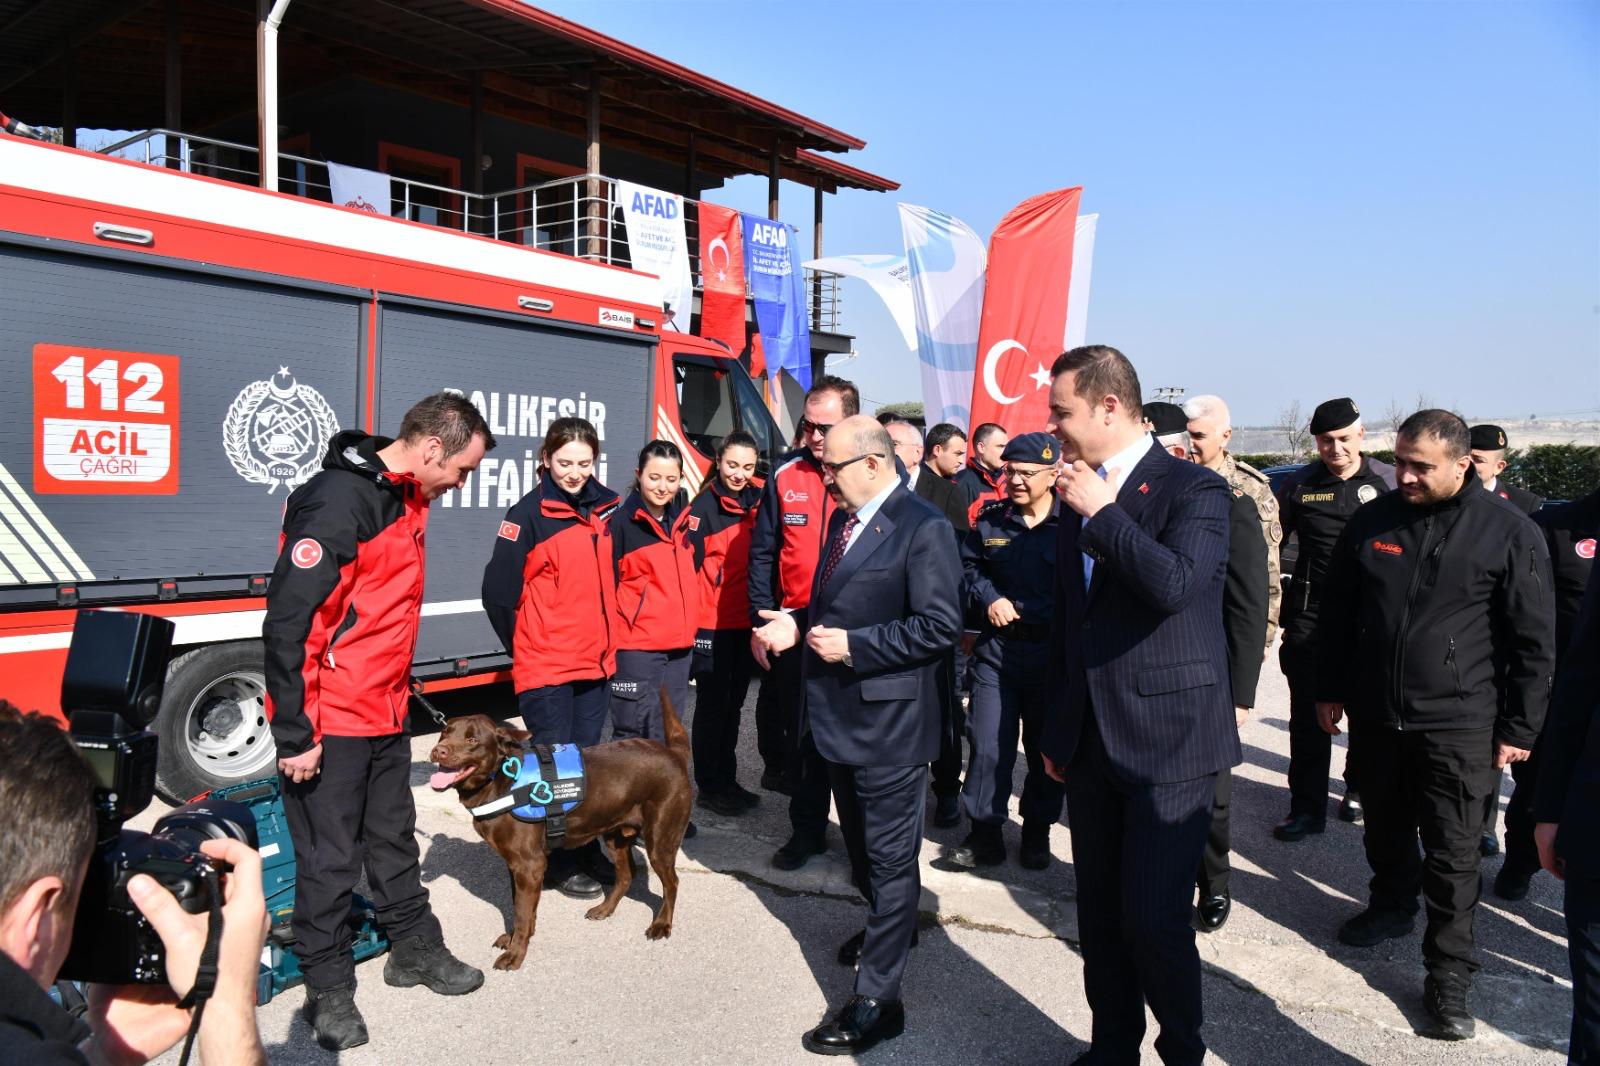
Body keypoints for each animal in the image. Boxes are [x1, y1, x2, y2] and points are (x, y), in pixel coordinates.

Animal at [428, 694, 691, 966]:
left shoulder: (529, 865)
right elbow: (519, 907)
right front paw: (514, 939)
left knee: (672, 882)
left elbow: (522, 913)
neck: (501, 779)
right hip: (615, 835)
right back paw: (604, 909)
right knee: (627, 874)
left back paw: (662, 924)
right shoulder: (515, 865)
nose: (438, 751)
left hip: (660, 838)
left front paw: (515, 953)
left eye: (472, 740)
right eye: (444, 734)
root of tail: (673, 753)